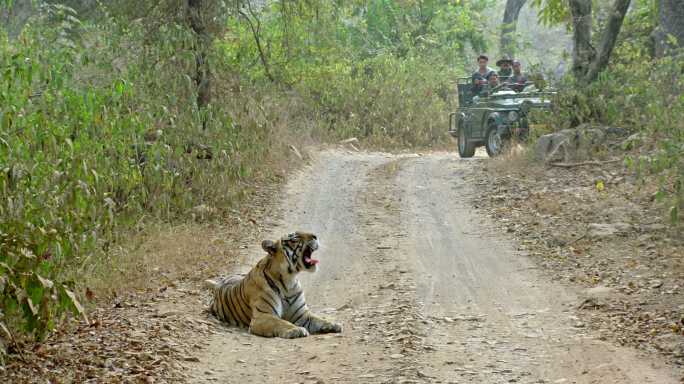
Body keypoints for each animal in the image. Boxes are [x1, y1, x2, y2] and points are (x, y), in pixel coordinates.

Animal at [203, 231, 342, 340]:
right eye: (294, 239)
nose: (315, 236)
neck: (289, 281)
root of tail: (219, 283)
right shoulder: (262, 316)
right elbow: (281, 322)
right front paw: (296, 330)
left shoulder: (302, 315)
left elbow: (318, 319)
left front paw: (333, 324)